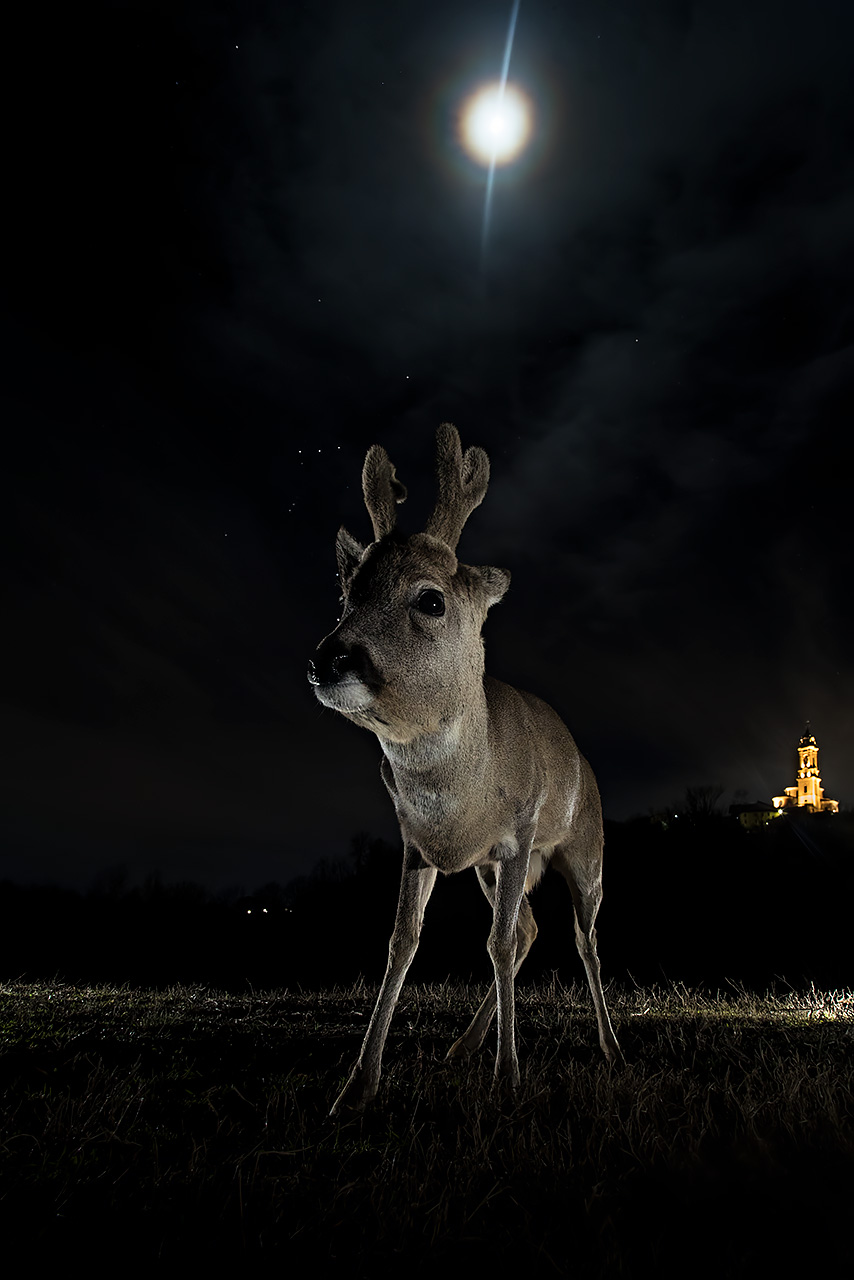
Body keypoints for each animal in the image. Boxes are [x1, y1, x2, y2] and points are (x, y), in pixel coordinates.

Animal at [307, 423, 624, 1115]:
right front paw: (357, 1085)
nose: (325, 659)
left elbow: (498, 944)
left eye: (430, 599)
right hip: (488, 869)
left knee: (583, 940)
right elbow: (402, 942)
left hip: (584, 851)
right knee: (531, 927)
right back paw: (464, 1046)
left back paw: (611, 1048)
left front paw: (509, 1080)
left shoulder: (518, 833)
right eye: (346, 593)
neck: (458, 797)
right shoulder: (416, 845)